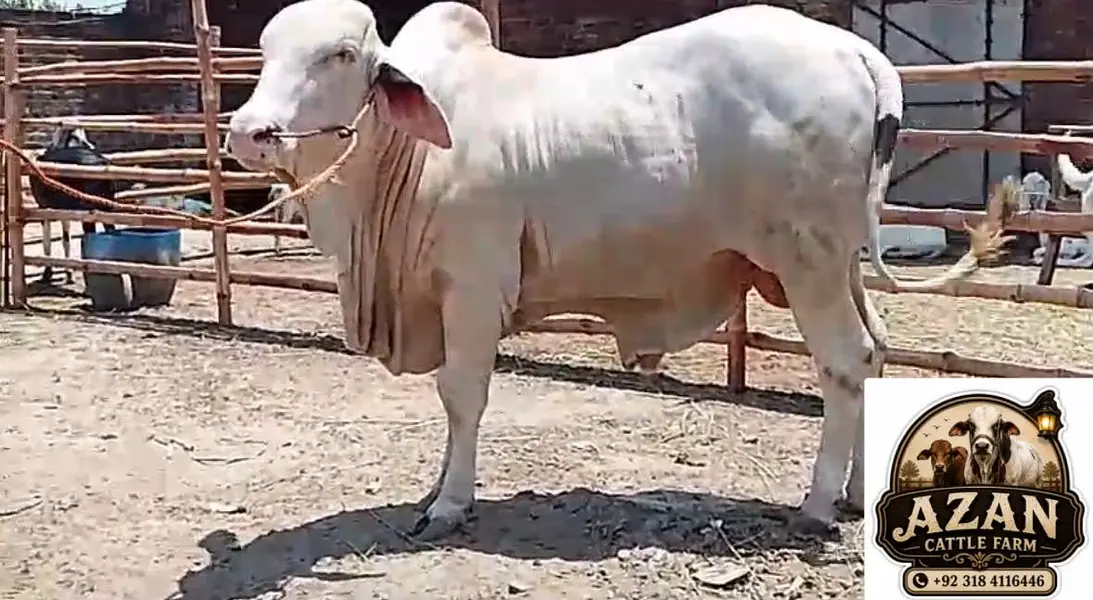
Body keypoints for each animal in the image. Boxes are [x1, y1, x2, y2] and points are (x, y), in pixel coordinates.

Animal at [224, 0, 1005, 539]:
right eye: (265, 49)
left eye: (340, 54)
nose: (250, 132)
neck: (405, 157)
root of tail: (857, 52)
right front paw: (436, 490)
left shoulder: (472, 290)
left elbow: (461, 397)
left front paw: (449, 503)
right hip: (839, 261)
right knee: (876, 353)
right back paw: (853, 493)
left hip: (806, 260)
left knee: (845, 360)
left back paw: (815, 505)